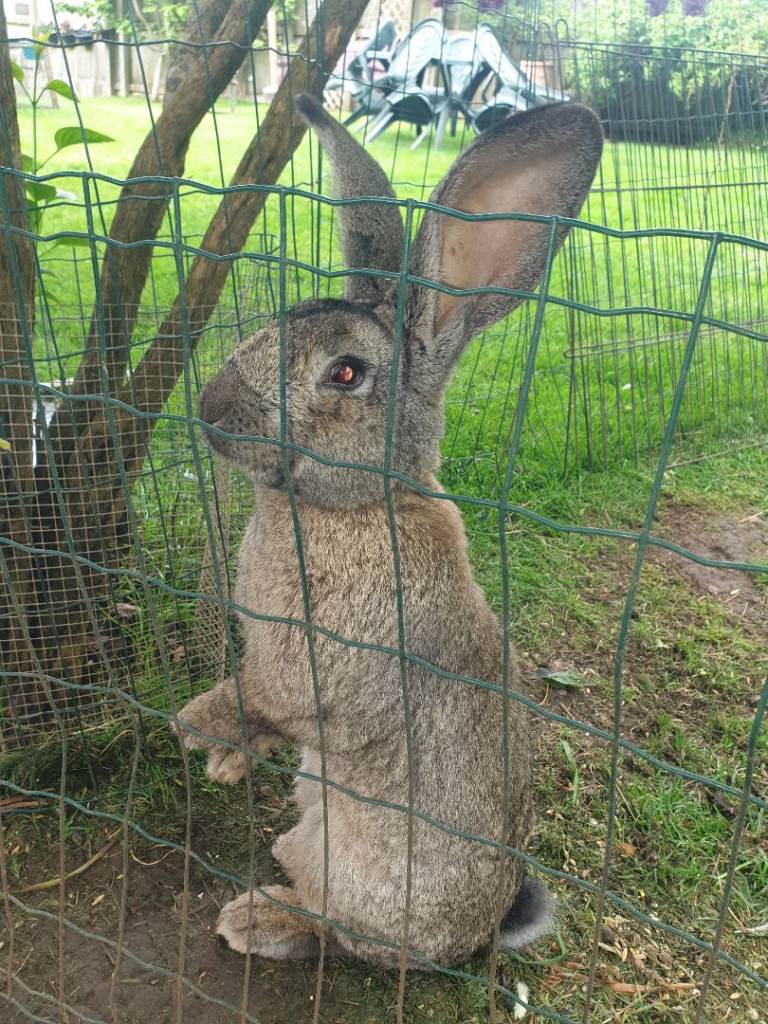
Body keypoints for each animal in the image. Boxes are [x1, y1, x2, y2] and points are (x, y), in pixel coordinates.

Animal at [174, 93, 603, 968]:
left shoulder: (311, 674)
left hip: (359, 873)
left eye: (346, 373)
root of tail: (478, 932)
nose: (210, 409)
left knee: (343, 930)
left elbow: (264, 700)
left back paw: (261, 918)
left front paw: (197, 729)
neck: (358, 505)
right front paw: (225, 759)